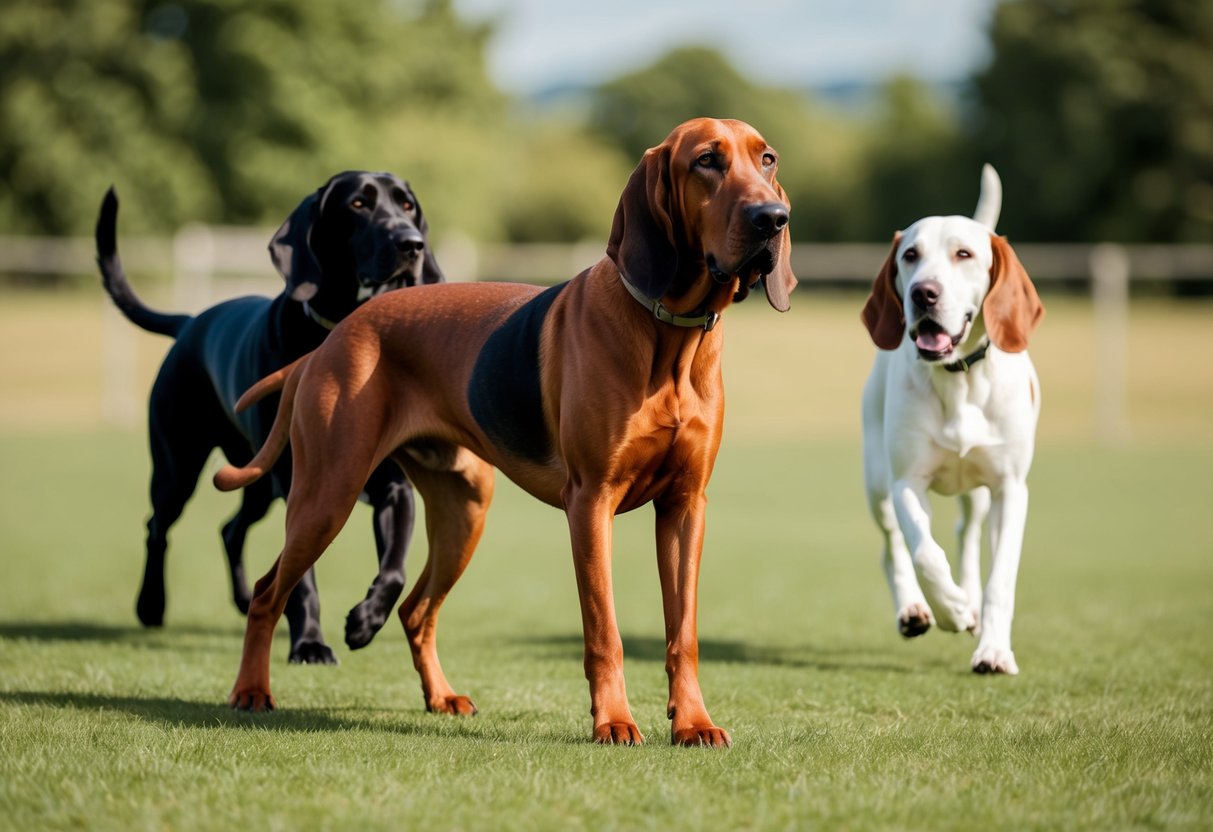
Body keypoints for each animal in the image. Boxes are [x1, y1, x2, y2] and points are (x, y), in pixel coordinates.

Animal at [97, 171, 443, 664]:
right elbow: (303, 580)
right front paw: (311, 644)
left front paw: (364, 622)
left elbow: (394, 569)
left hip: (255, 481)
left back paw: (246, 600)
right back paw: (151, 605)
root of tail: (191, 321)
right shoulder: (298, 484)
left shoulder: (395, 485)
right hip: (178, 466)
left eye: (408, 205)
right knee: (157, 526)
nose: (411, 244)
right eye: (357, 204)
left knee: (229, 529)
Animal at [215, 114, 795, 747]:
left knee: (416, 610)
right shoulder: (590, 502)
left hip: (464, 509)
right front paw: (614, 720)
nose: (773, 218)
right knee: (267, 593)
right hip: (327, 495)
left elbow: (682, 633)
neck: (668, 336)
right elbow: (605, 631)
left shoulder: (686, 506)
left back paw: (440, 696)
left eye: (766, 159)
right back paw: (251, 691)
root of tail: (332, 339)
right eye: (707, 161)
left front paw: (693, 721)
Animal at [858, 167, 1048, 679]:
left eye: (964, 254)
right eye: (910, 255)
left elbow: (1001, 577)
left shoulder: (1012, 489)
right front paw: (950, 608)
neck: (958, 378)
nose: (923, 292)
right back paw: (915, 609)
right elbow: (923, 551)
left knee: (968, 532)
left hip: (980, 493)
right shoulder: (907, 481)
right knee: (891, 546)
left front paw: (994, 649)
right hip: (877, 481)